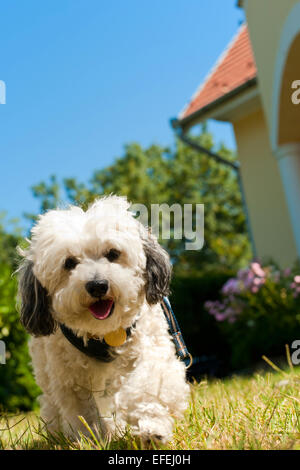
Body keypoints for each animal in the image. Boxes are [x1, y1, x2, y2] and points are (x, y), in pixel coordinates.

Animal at [17, 196, 190, 444]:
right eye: (69, 263)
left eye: (113, 253)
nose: (97, 285)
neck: (105, 333)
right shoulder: (69, 378)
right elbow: (82, 411)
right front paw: (92, 439)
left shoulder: (150, 349)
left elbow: (149, 384)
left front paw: (151, 427)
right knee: (52, 402)